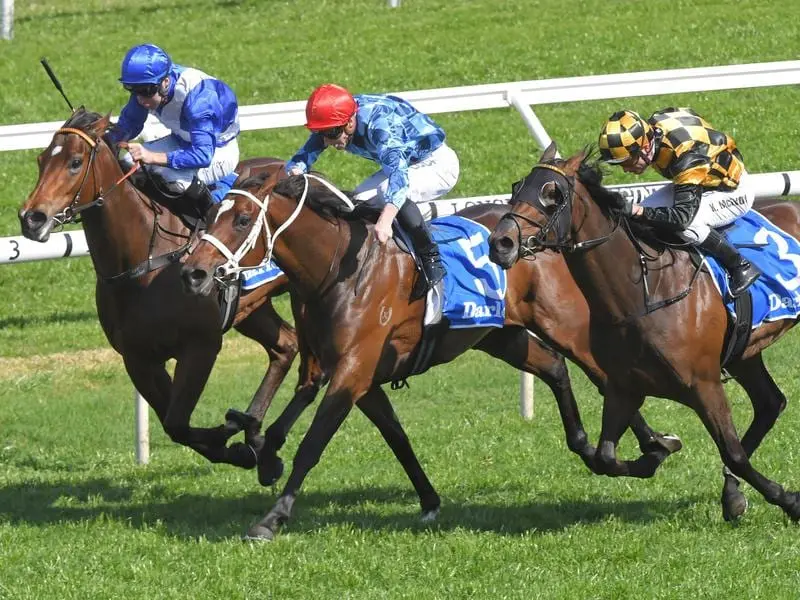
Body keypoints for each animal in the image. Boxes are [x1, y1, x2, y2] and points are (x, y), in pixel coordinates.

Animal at [16, 109, 316, 468]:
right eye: (41, 159)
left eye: (75, 162)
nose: (31, 218)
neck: (144, 263)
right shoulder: (139, 358)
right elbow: (175, 425)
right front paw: (242, 444)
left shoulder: (201, 346)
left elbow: (178, 421)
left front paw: (234, 436)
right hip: (250, 309)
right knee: (285, 344)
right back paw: (255, 428)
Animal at [180, 170, 680, 540]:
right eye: (211, 213)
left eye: (242, 219)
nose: (194, 271)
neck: (336, 269)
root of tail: (541, 235)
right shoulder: (350, 374)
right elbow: (391, 436)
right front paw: (429, 501)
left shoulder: (352, 371)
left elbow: (312, 442)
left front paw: (271, 517)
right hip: (499, 335)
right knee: (554, 368)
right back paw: (592, 445)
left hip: (564, 322)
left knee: (603, 374)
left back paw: (650, 448)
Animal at [488, 143, 800, 524]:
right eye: (517, 188)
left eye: (552, 194)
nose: (500, 243)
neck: (640, 297)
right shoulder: (625, 387)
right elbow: (604, 459)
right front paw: (658, 452)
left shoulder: (705, 385)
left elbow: (734, 453)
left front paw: (789, 501)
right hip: (745, 351)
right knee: (770, 403)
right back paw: (731, 491)